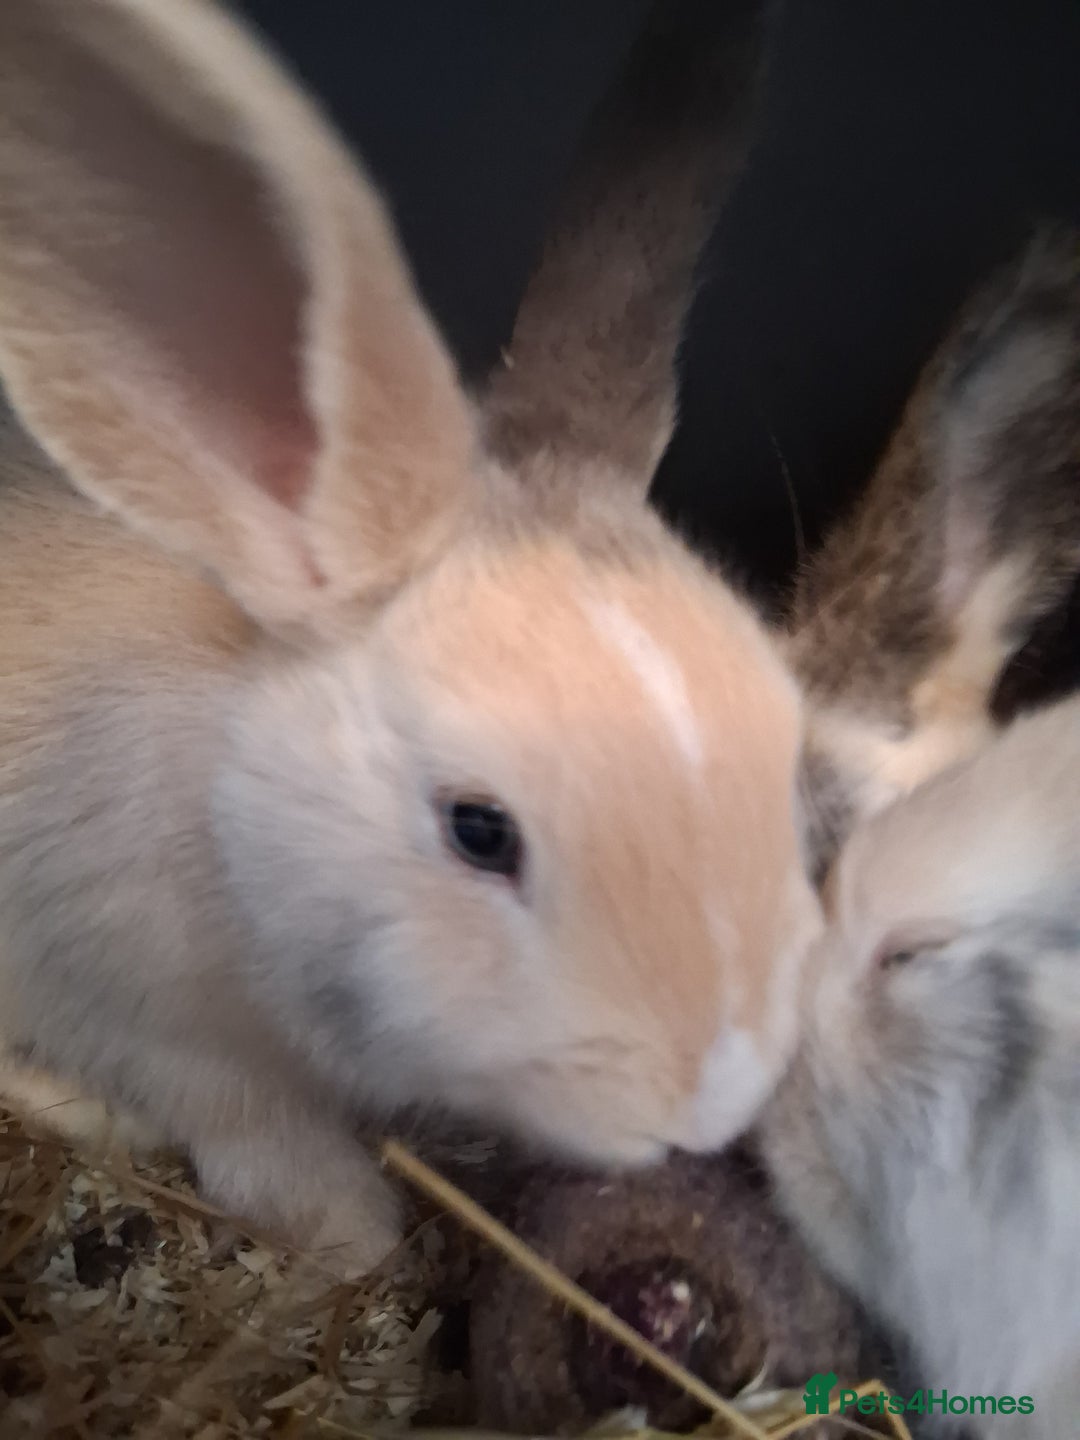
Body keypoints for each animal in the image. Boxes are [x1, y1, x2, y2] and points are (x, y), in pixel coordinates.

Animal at [0, 0, 821, 1277]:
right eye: (479, 832)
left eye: (790, 760)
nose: (710, 1102)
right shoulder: (134, 998)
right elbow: (251, 1122)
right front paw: (349, 1233)